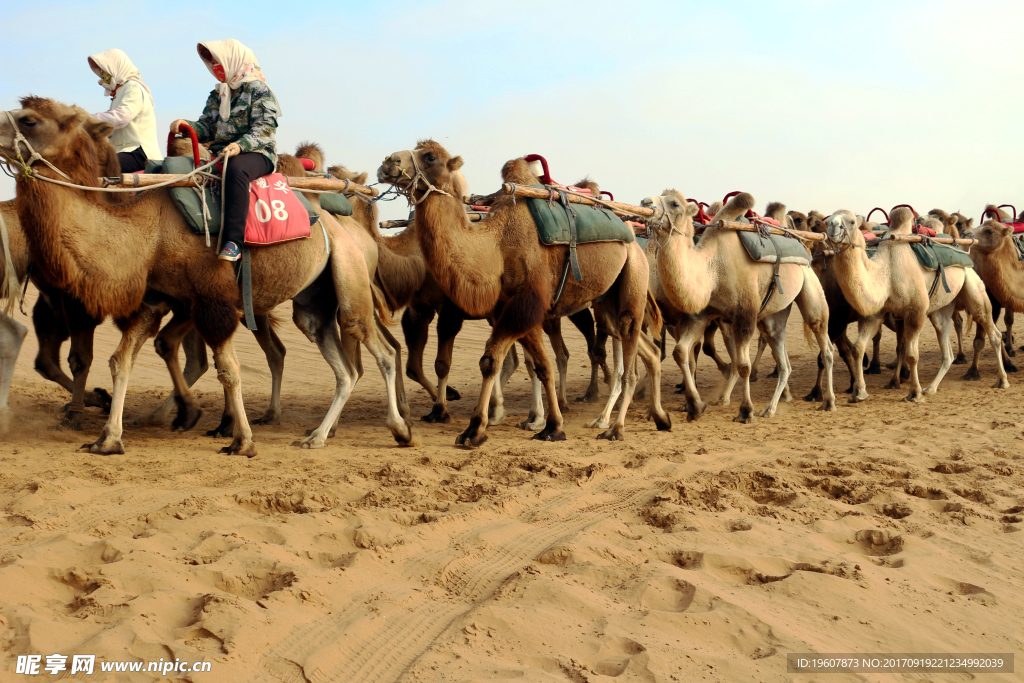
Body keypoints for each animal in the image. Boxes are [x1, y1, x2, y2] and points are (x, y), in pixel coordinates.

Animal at [4, 97, 411, 454]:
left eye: (30, 120)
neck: (149, 228)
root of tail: (354, 226)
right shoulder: (156, 298)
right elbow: (121, 360)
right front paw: (108, 438)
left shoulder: (213, 299)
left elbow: (228, 370)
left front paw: (241, 441)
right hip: (314, 300)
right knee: (343, 366)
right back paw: (316, 436)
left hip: (349, 273)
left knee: (379, 349)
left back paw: (399, 428)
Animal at [378, 141, 671, 446]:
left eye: (430, 157)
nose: (388, 162)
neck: (495, 247)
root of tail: (633, 236)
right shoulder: (510, 309)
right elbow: (522, 364)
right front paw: (531, 425)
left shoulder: (526, 304)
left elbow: (511, 362)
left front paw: (498, 426)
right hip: (606, 302)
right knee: (647, 349)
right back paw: (660, 417)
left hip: (633, 277)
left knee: (630, 362)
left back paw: (615, 427)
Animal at [643, 188, 835, 421]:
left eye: (674, 204)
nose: (645, 202)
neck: (712, 270)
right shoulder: (701, 314)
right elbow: (681, 352)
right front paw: (695, 406)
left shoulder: (745, 314)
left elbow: (744, 365)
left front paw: (745, 411)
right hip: (773, 314)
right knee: (782, 357)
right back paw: (770, 408)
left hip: (808, 282)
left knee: (823, 340)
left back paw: (828, 401)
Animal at [823, 205, 1007, 403]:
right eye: (828, 220)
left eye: (850, 222)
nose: (832, 226)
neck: (886, 274)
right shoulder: (875, 313)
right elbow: (858, 348)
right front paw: (859, 392)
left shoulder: (915, 311)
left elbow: (912, 355)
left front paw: (914, 393)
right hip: (940, 311)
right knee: (947, 351)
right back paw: (931, 388)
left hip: (974, 289)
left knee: (994, 332)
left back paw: (1002, 381)